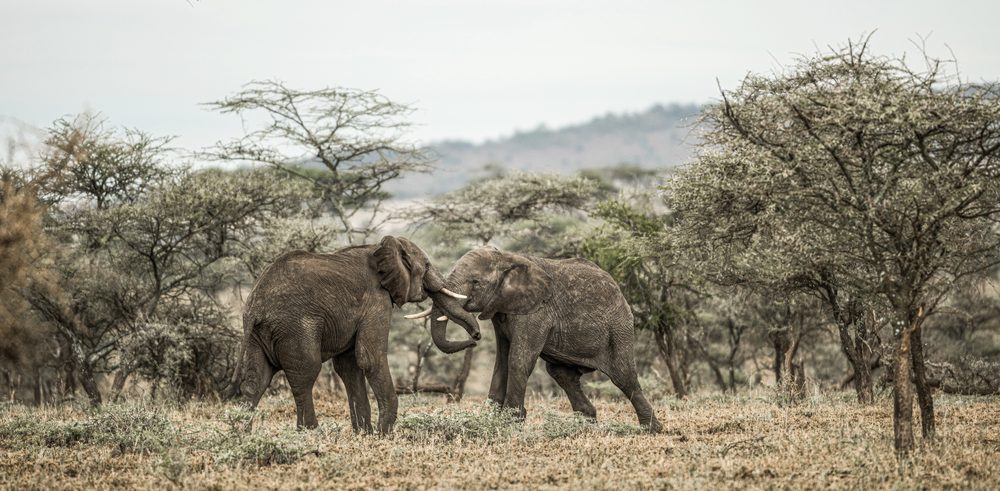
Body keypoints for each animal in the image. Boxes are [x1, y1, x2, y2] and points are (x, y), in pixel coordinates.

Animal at [229, 236, 481, 432]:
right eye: (427, 265)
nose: (476, 337)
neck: (381, 247)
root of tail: (254, 307)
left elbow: (349, 367)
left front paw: (364, 434)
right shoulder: (376, 300)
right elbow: (370, 358)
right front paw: (383, 434)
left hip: (258, 334)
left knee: (257, 380)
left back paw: (243, 434)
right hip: (295, 327)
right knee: (305, 375)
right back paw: (310, 432)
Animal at [431, 246, 662, 432]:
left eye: (475, 282)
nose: (475, 336)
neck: (506, 257)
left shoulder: (537, 312)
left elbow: (518, 360)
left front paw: (511, 421)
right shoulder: (501, 309)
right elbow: (501, 362)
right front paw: (491, 418)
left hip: (619, 326)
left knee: (624, 376)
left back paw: (652, 430)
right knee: (561, 374)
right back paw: (586, 424)